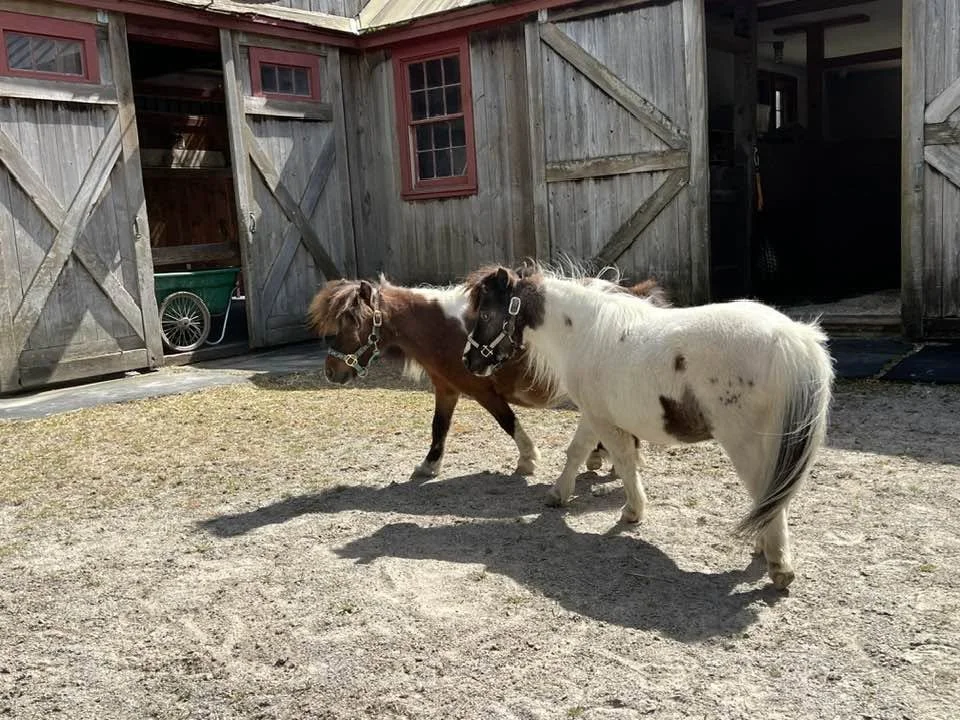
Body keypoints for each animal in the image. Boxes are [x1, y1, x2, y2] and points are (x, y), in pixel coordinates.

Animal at [307, 272, 666, 480]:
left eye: (353, 321)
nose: (331, 371)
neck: (442, 329)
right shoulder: (446, 390)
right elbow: (439, 427)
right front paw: (429, 465)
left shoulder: (482, 391)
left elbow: (508, 422)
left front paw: (528, 459)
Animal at [461, 264, 834, 589]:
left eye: (486, 314)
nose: (469, 361)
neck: (584, 332)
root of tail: (791, 338)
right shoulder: (593, 415)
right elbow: (578, 451)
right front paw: (559, 494)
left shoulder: (601, 419)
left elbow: (623, 461)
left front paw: (632, 511)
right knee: (773, 494)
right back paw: (764, 546)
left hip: (746, 444)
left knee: (765, 491)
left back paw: (779, 565)